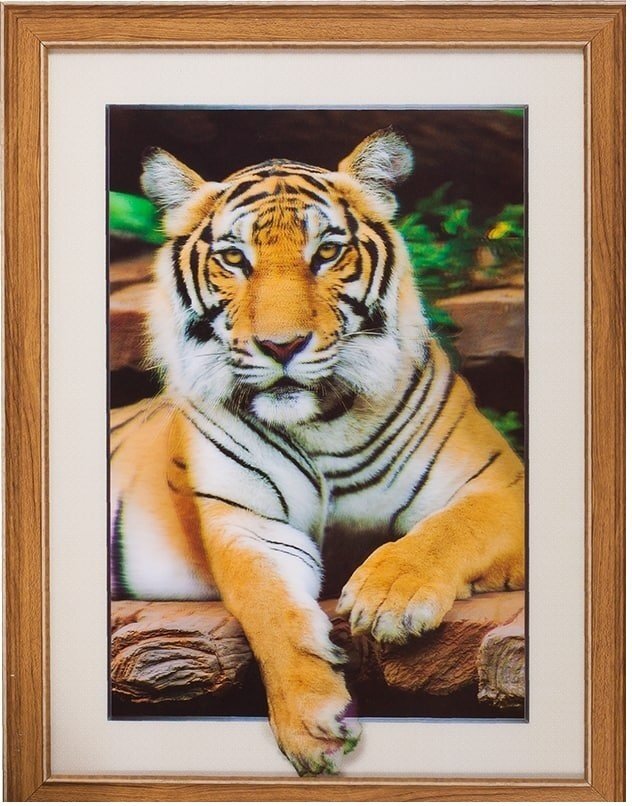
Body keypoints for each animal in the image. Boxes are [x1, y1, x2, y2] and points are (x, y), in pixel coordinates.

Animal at [110, 129, 525, 776]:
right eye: (235, 259)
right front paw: (310, 726)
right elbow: (270, 609)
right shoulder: (245, 524)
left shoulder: (499, 482)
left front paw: (389, 596)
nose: (281, 347)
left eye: (327, 253)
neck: (321, 422)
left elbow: (453, 528)